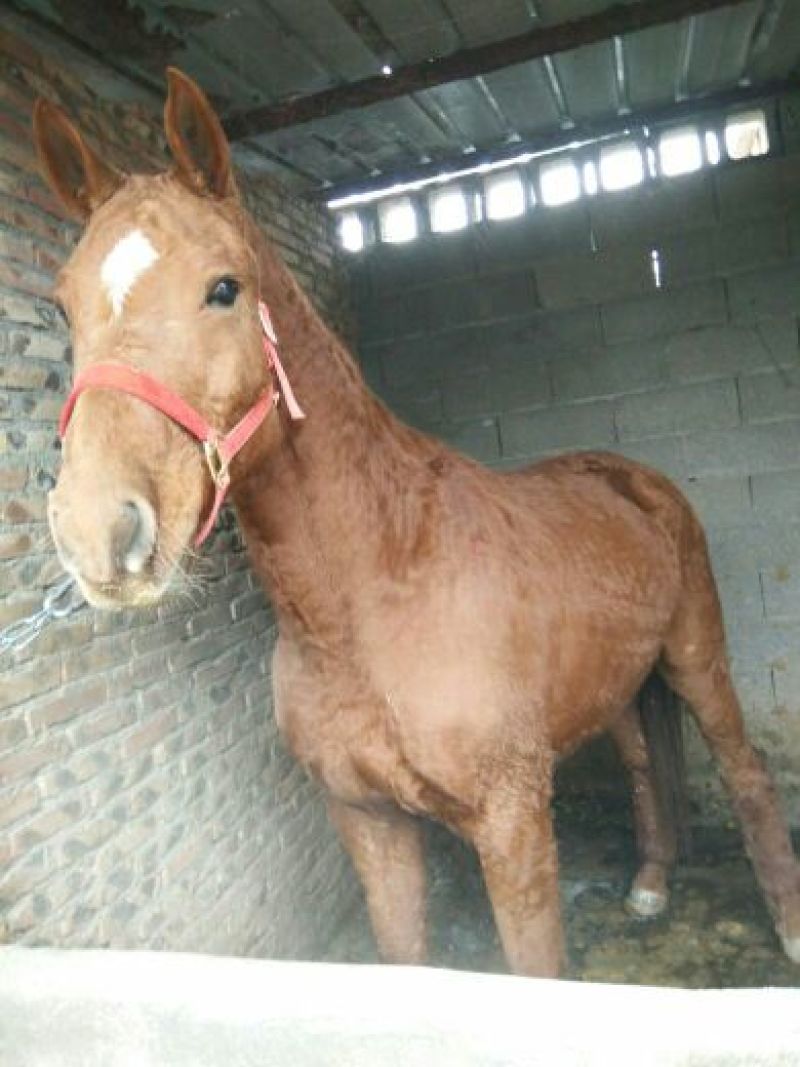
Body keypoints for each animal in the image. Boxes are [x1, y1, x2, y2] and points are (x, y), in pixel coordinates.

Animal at [32, 68, 800, 977]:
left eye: (224, 287)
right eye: (65, 307)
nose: (98, 531)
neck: (377, 589)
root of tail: (635, 478)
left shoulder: (513, 827)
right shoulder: (368, 820)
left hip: (696, 656)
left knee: (747, 769)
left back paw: (786, 923)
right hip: (620, 680)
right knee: (647, 764)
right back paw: (649, 883)